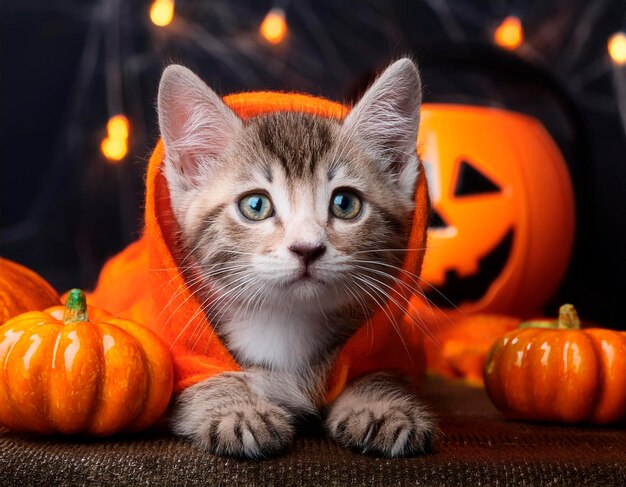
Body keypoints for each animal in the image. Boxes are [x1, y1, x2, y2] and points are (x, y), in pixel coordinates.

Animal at [160, 59, 434, 460]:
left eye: (345, 204)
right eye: (255, 205)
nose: (307, 248)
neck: (287, 322)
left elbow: (378, 368)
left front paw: (382, 404)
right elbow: (199, 374)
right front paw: (236, 407)